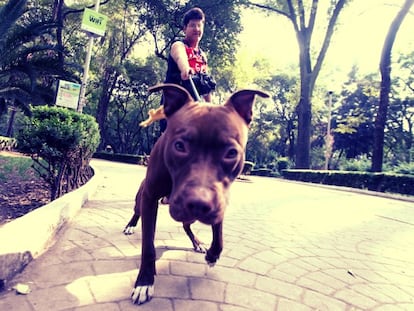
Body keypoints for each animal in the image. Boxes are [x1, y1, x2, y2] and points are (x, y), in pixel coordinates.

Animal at [123, 83, 268, 304]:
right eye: (179, 146)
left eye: (231, 153)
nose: (199, 204)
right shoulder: (150, 198)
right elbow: (148, 246)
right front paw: (144, 282)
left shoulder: (219, 201)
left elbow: (219, 233)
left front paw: (213, 255)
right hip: (142, 198)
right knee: (137, 212)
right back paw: (131, 226)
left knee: (186, 225)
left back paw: (198, 243)